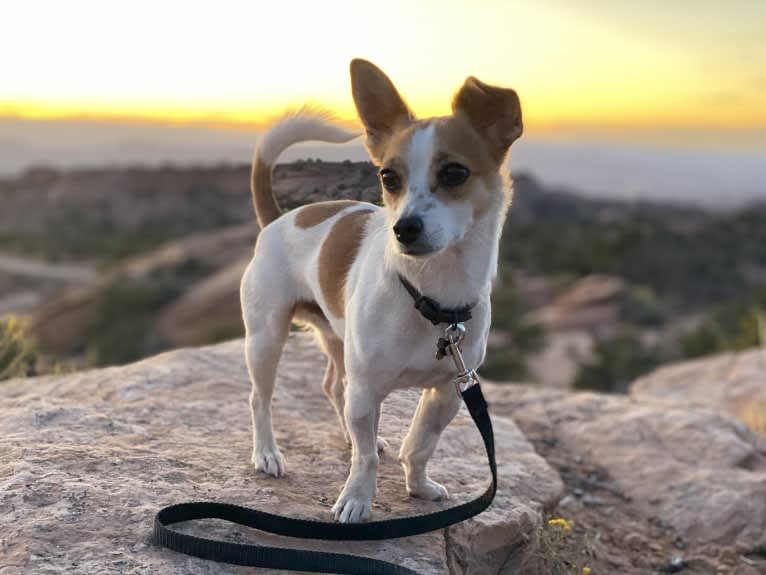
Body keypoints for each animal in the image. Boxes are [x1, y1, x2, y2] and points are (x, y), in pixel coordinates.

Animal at [243, 59, 524, 528]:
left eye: (455, 173)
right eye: (388, 177)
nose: (403, 228)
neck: (429, 296)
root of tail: (278, 219)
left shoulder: (449, 391)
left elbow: (421, 445)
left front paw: (418, 486)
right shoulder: (368, 389)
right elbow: (366, 462)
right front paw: (357, 500)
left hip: (337, 339)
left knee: (334, 387)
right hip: (265, 338)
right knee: (260, 398)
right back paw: (267, 454)